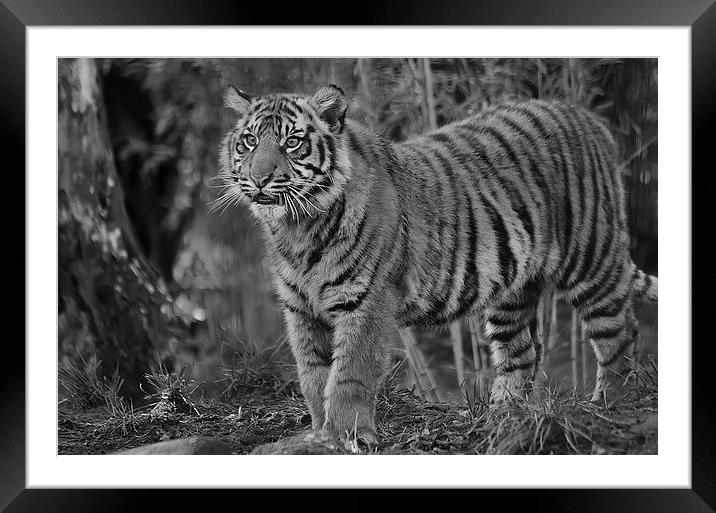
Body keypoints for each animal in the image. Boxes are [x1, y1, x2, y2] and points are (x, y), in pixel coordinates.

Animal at [217, 83, 660, 444]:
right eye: (249, 141)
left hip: (591, 260)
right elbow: (313, 375)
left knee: (621, 333)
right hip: (511, 289)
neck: (297, 227)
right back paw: (502, 418)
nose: (259, 178)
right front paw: (319, 434)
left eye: (292, 142)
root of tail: (590, 117)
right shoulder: (300, 309)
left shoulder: (365, 302)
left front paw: (346, 436)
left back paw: (608, 407)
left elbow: (349, 375)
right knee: (522, 351)